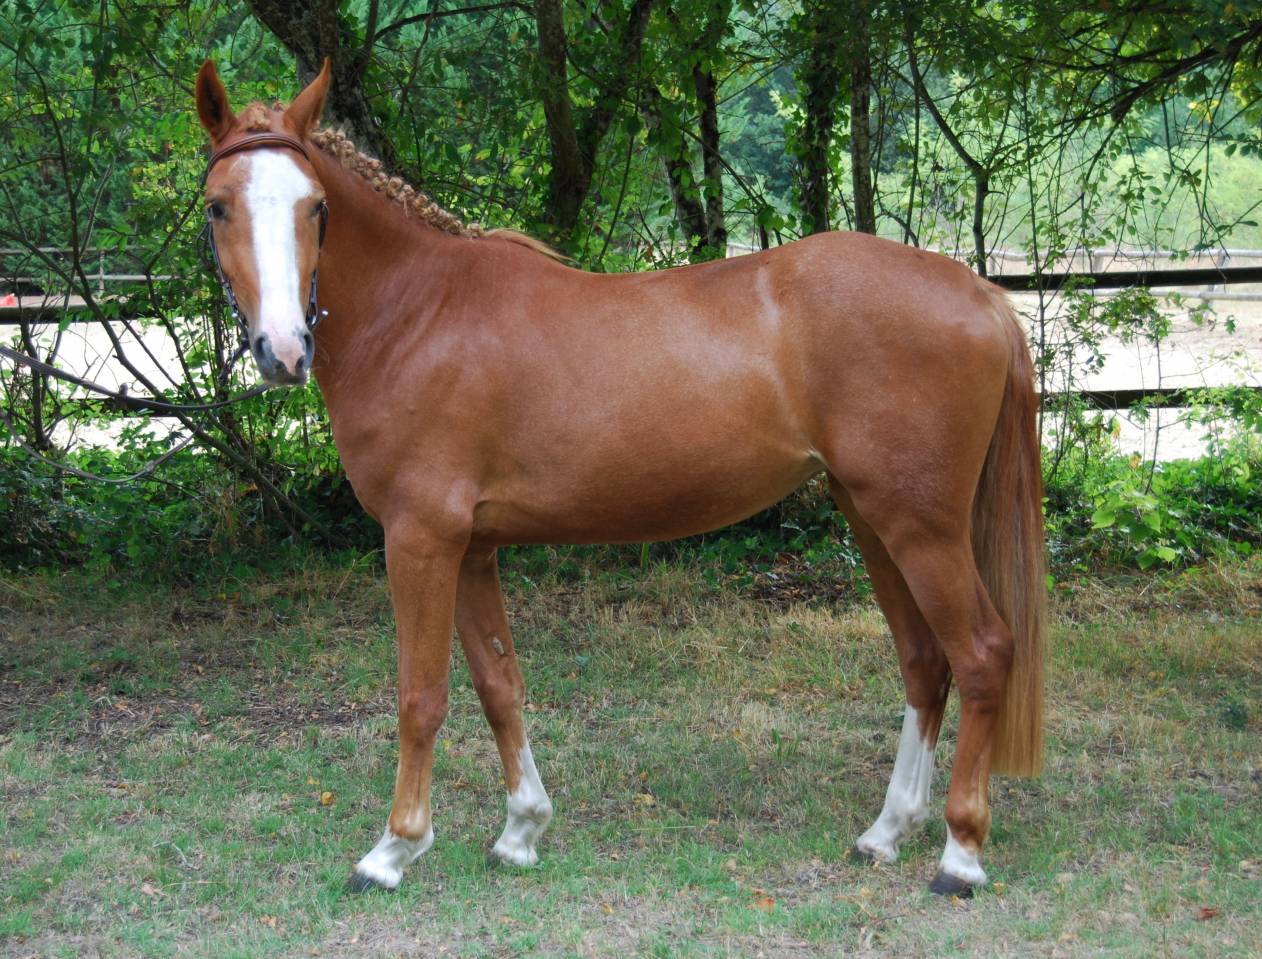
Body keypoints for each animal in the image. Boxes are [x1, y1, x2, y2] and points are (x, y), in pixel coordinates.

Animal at [194, 58, 1046, 898]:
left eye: (314, 207)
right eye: (218, 207)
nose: (283, 350)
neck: (417, 314)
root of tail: (980, 292)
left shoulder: (420, 539)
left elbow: (421, 696)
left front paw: (394, 849)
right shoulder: (470, 546)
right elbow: (499, 684)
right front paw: (521, 830)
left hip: (920, 527)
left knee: (981, 653)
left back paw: (959, 855)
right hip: (873, 519)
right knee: (925, 660)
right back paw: (886, 832)